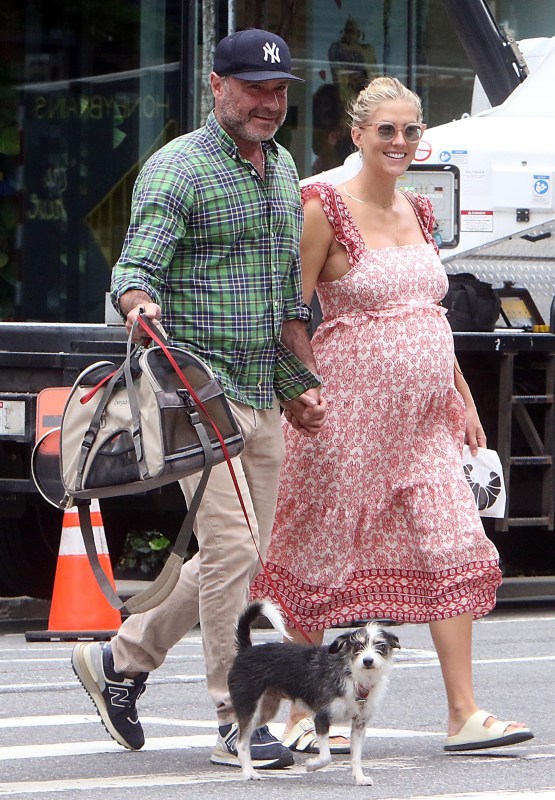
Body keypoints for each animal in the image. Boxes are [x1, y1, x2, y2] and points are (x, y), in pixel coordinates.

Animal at [226, 600, 400, 780]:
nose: (367, 661)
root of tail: (246, 650)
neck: (353, 676)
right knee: (241, 743)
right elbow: (326, 757)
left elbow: (356, 757)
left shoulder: (359, 725)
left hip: (264, 711)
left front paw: (359, 778)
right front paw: (312, 765)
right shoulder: (321, 718)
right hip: (249, 706)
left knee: (242, 736)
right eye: (358, 645)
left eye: (381, 646)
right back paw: (248, 772)